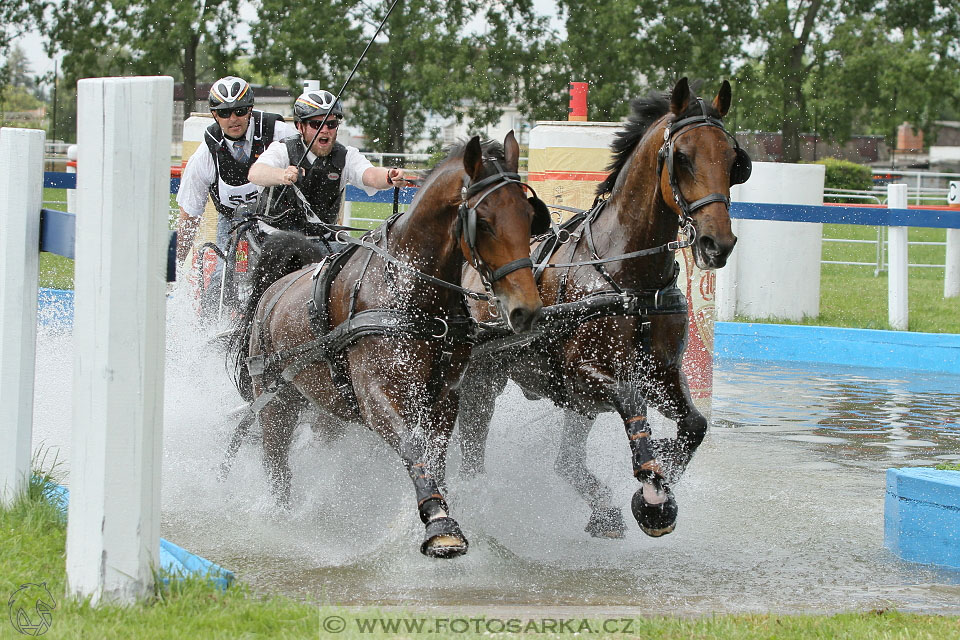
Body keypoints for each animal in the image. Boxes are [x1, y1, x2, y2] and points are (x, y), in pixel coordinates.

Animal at [226, 131, 552, 556]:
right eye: (482, 221)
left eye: (530, 217)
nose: (526, 309)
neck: (411, 293)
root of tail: (272, 292)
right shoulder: (379, 397)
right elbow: (413, 449)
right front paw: (440, 524)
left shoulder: (444, 399)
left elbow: (434, 457)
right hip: (276, 402)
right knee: (276, 464)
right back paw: (282, 519)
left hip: (324, 405)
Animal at [458, 79, 752, 540]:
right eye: (683, 157)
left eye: (733, 159)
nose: (715, 243)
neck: (630, 277)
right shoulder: (586, 373)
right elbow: (632, 401)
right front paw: (652, 496)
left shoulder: (663, 371)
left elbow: (695, 424)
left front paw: (665, 470)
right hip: (482, 381)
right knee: (474, 449)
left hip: (573, 406)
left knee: (566, 462)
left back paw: (602, 512)